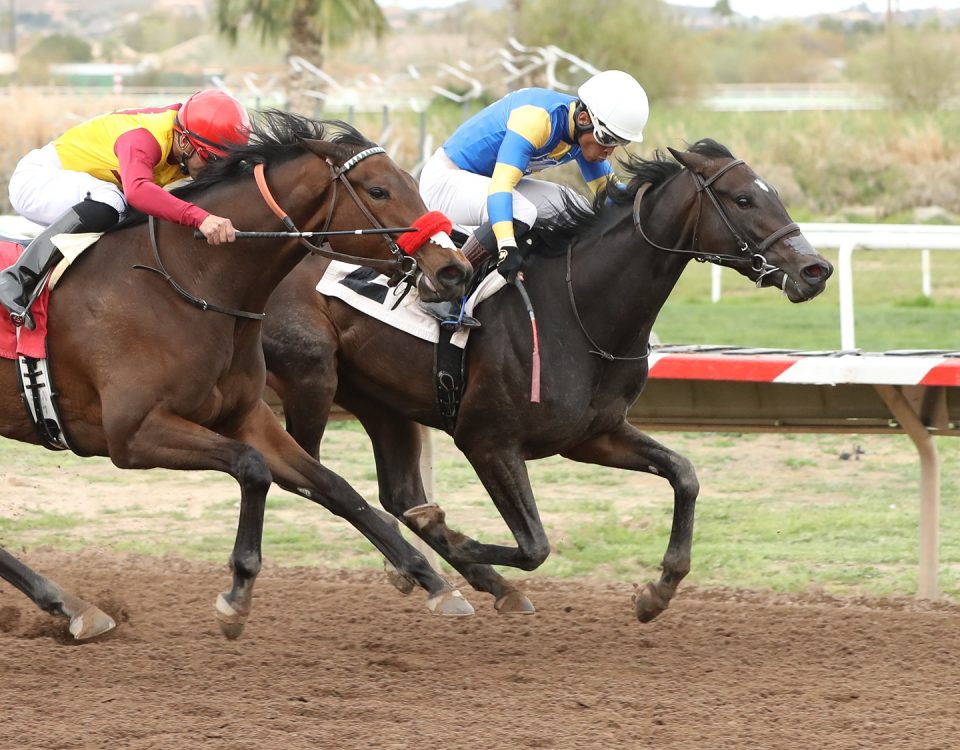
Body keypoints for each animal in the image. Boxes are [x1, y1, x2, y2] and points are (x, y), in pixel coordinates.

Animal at [1, 111, 474, 640]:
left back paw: (71, 605)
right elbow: (253, 468)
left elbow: (335, 487)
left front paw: (433, 581)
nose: (454, 269)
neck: (188, 283)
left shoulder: (247, 416)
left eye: (412, 182)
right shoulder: (132, 434)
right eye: (378, 190)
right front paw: (237, 594)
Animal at [262, 140, 832, 624]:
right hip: (312, 376)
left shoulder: (593, 435)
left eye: (772, 194)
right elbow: (535, 545)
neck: (577, 309)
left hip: (381, 400)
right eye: (743, 199)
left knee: (396, 492)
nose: (815, 269)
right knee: (311, 471)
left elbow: (684, 475)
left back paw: (451, 578)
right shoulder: (487, 441)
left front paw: (657, 591)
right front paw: (452, 540)